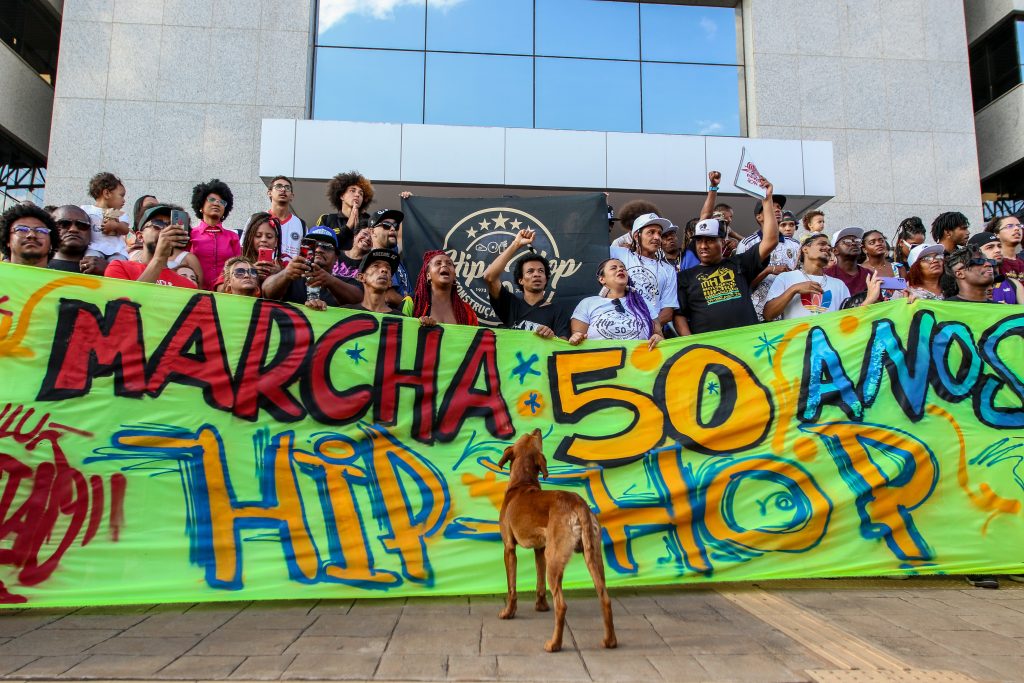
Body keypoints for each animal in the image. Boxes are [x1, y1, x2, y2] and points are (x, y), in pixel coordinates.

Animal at [497, 430, 614, 655]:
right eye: (531, 436)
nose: (538, 429)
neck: (522, 484)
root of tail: (578, 504)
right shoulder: (540, 549)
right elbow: (539, 582)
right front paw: (541, 606)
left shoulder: (509, 548)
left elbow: (511, 587)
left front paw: (508, 612)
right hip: (593, 557)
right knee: (604, 597)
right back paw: (610, 641)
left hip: (554, 559)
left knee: (562, 605)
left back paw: (554, 644)